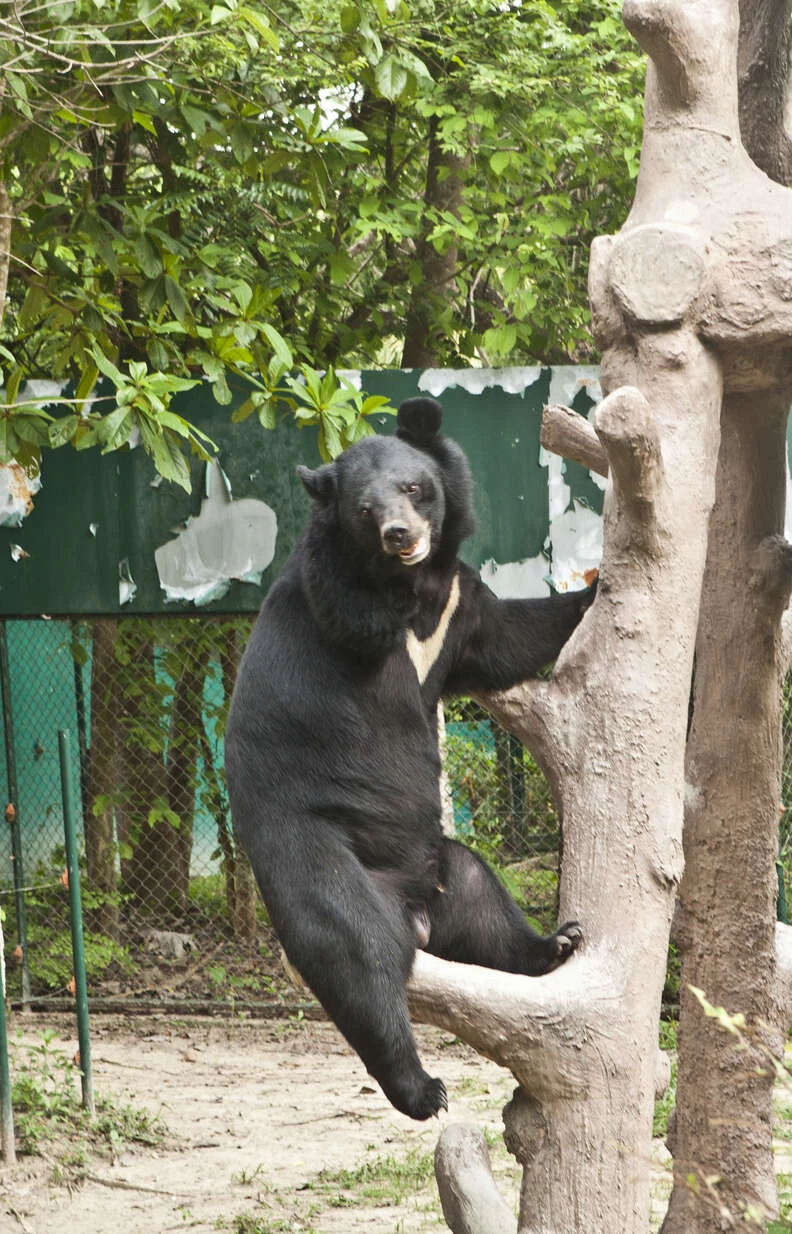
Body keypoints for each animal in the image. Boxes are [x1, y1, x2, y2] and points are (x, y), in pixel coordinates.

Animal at [222, 394, 592, 1120]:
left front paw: (592, 587)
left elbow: (511, 636)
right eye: (366, 510)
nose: (399, 533)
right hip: (319, 853)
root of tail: (412, 910)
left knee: (485, 910)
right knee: (355, 954)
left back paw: (555, 943)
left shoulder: (461, 605)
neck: (416, 583)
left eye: (416, 487)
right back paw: (420, 1088)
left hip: (447, 867)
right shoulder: (340, 602)